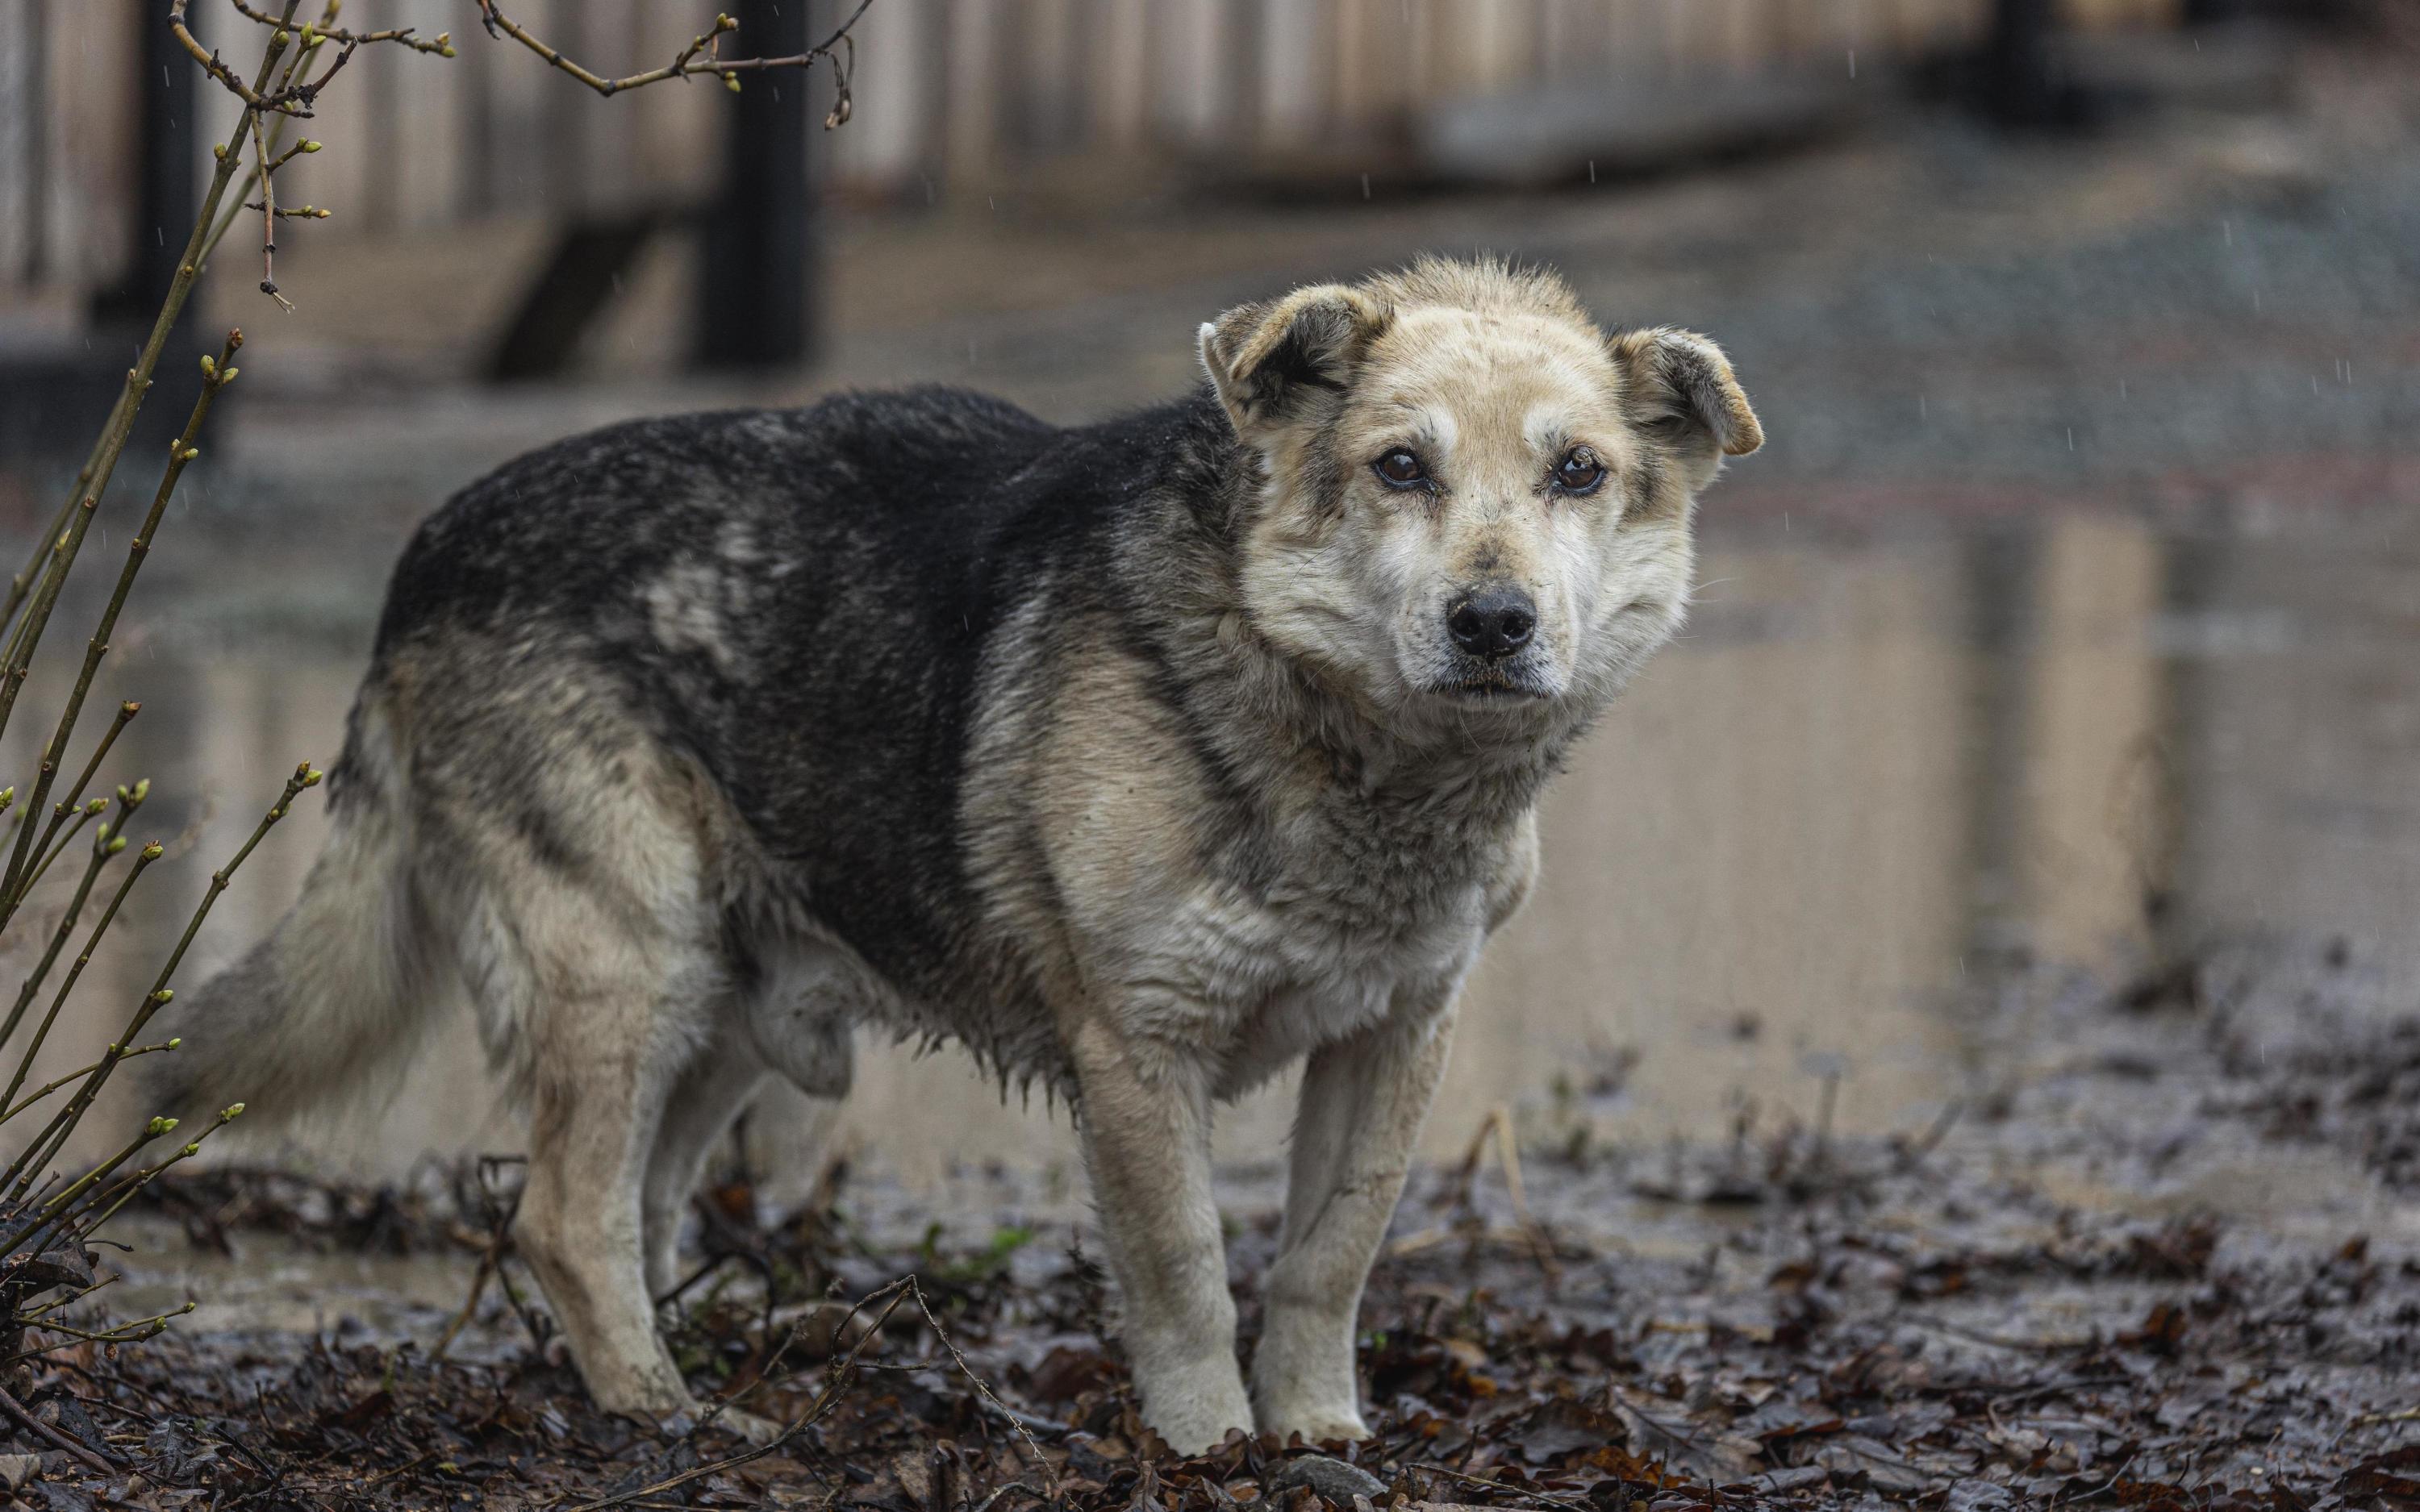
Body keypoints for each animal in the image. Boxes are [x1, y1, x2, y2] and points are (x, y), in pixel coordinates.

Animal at [151, 259, 1762, 1452]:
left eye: (1578, 473)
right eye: (1400, 468)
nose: (1494, 625)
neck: (1350, 757)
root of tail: (425, 551)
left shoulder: (1396, 1034)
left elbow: (1326, 1258)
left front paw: (1316, 1434)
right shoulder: (1137, 1053)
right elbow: (1185, 1270)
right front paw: (1210, 1448)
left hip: (722, 999)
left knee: (638, 1204)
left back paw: (701, 1370)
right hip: (631, 964)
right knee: (562, 1215)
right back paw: (667, 1416)